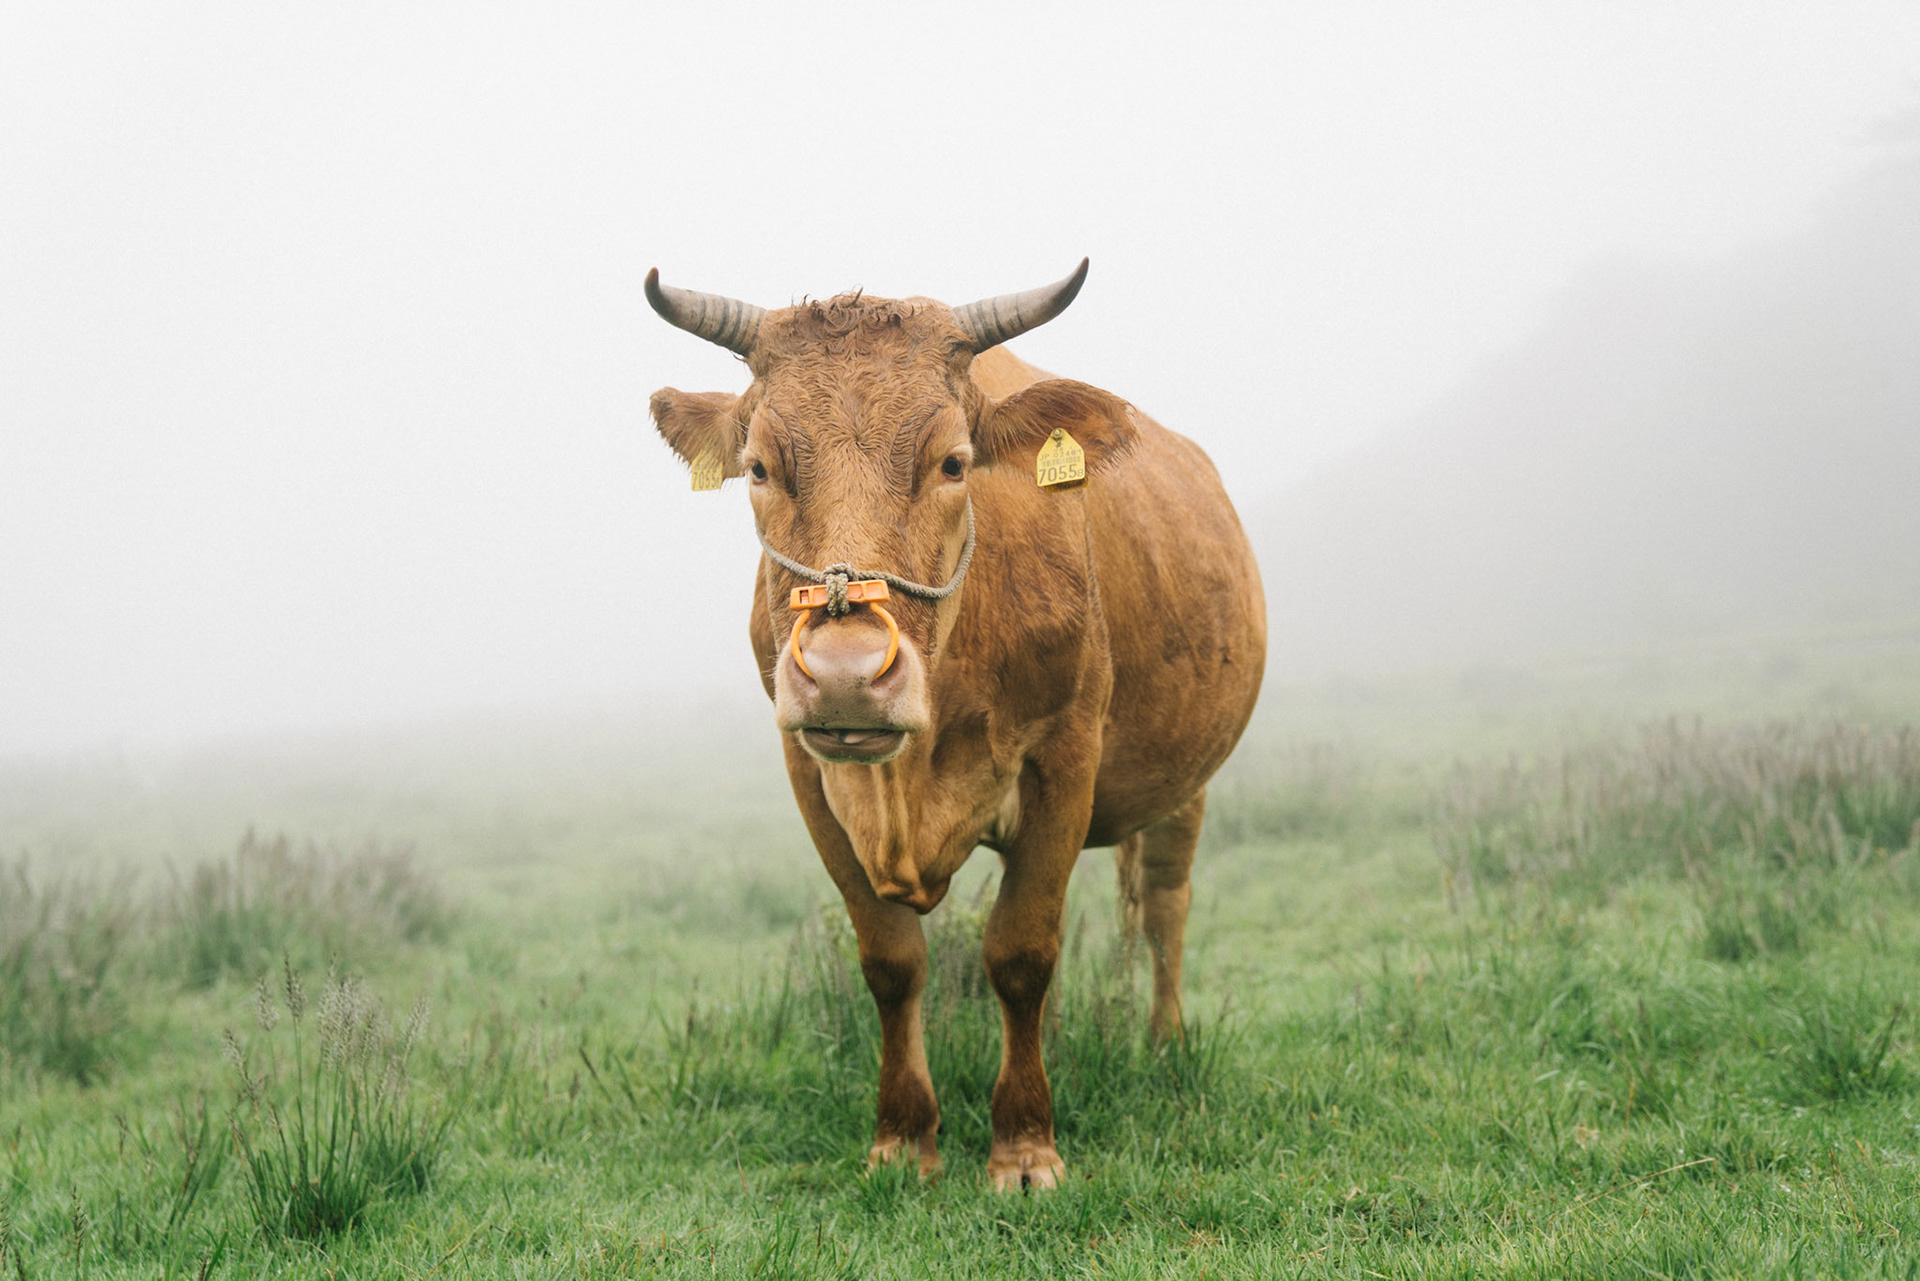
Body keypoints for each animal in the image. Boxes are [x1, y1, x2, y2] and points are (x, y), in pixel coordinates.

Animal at [645, 260, 1265, 1190]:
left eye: (952, 462)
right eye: (757, 468)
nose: (845, 675)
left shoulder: (1064, 756)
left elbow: (1021, 951)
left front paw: (1025, 1145)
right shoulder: (810, 776)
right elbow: (892, 960)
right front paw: (904, 1137)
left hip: (1185, 778)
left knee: (1163, 902)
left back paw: (1163, 1040)